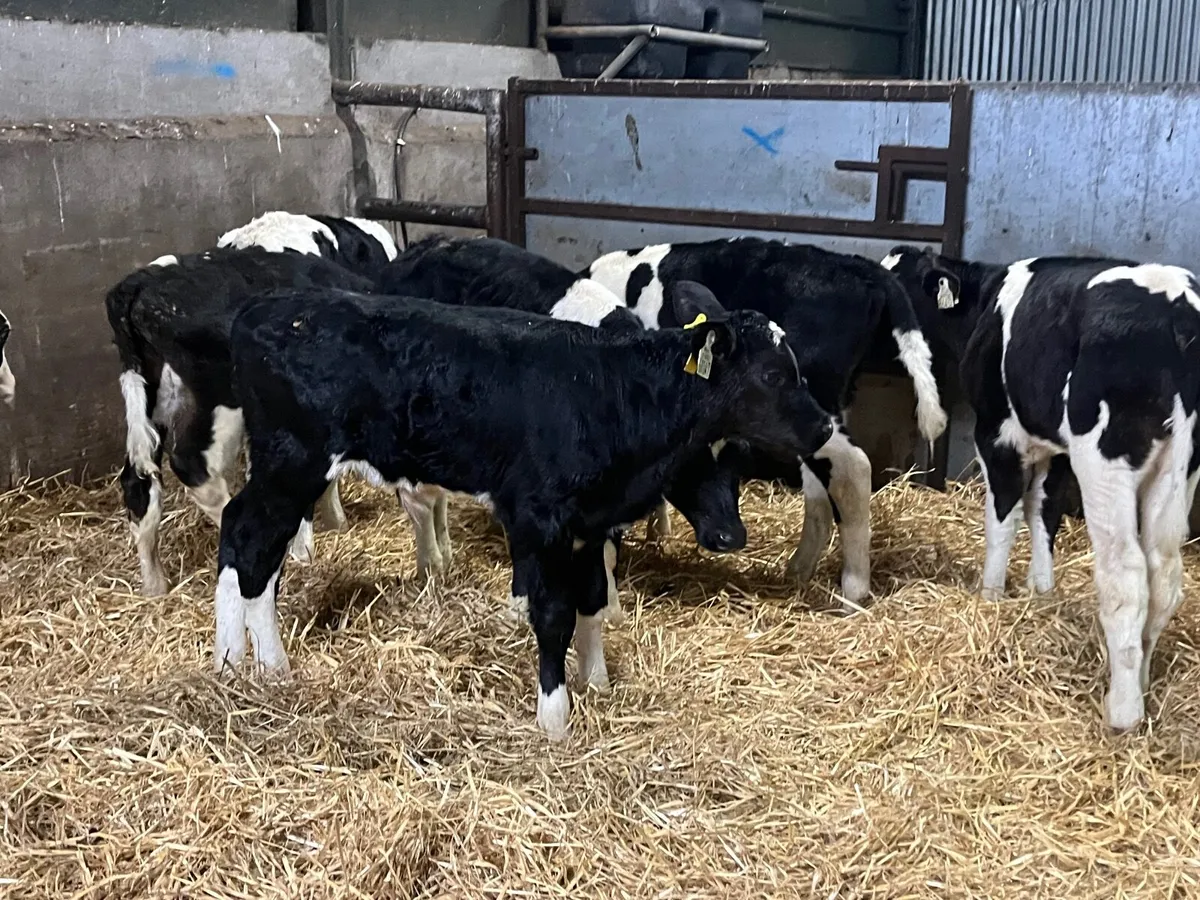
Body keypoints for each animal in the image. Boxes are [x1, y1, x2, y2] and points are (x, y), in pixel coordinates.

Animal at [106, 248, 376, 597]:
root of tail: (141, 281)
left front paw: (335, 526)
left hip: (153, 394)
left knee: (137, 481)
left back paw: (155, 587)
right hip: (216, 398)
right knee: (192, 466)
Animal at [217, 282, 834, 739]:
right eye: (773, 374)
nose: (825, 426)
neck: (614, 393)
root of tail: (263, 307)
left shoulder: (591, 524)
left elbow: (592, 601)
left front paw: (596, 681)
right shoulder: (540, 518)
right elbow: (555, 613)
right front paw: (555, 718)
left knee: (241, 533)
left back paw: (231, 659)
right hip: (294, 460)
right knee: (253, 541)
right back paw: (271, 666)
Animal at [882, 245, 1200, 733]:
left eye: (897, 285)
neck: (985, 300)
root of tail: (1177, 304)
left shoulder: (998, 432)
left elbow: (1004, 516)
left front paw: (991, 595)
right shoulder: (1058, 448)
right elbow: (1042, 512)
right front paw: (1041, 591)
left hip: (1105, 460)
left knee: (1126, 576)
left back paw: (1123, 711)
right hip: (1179, 471)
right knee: (1163, 574)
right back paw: (1141, 685)